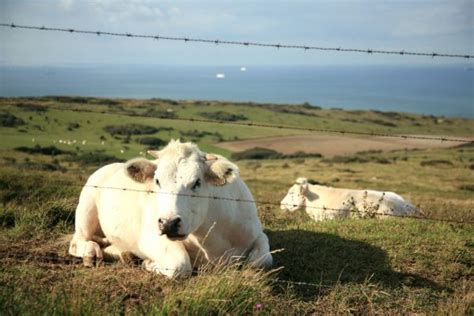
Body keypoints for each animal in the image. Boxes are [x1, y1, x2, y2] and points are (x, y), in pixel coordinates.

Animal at [68, 140, 272, 276]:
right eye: (157, 180)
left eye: (197, 182)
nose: (168, 223)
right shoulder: (149, 237)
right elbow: (179, 265)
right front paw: (149, 263)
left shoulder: (257, 234)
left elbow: (261, 261)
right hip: (86, 208)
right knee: (78, 241)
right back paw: (92, 252)